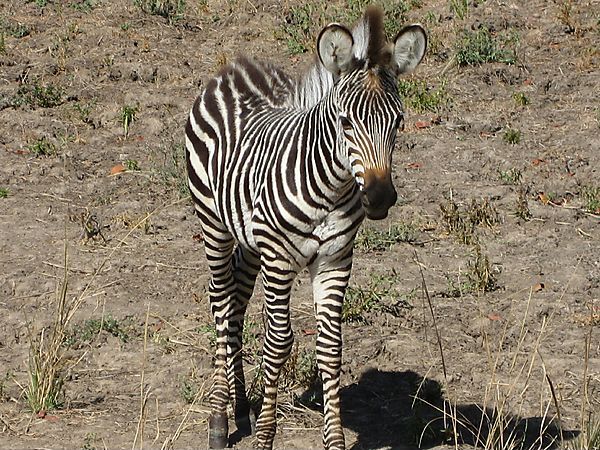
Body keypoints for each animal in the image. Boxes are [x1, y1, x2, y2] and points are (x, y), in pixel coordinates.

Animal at [186, 7, 426, 450]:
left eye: (398, 121)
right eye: (346, 122)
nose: (380, 198)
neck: (331, 187)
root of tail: (237, 66)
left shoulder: (335, 261)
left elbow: (330, 347)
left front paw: (334, 440)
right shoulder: (280, 260)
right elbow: (278, 343)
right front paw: (265, 437)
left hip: (251, 241)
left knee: (237, 303)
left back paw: (240, 406)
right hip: (213, 223)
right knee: (221, 303)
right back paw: (219, 419)